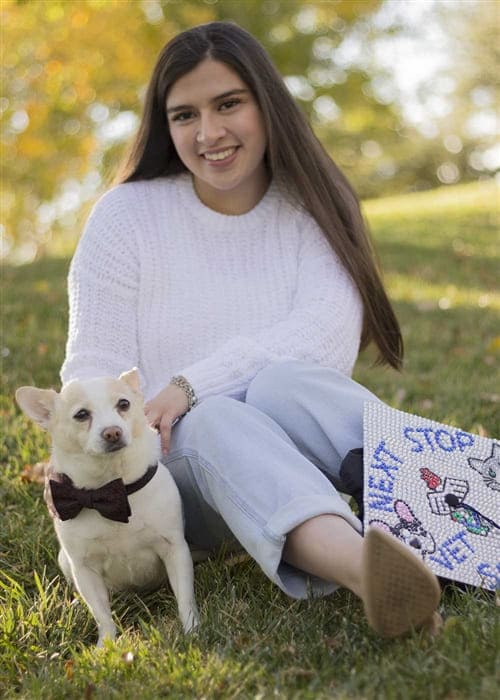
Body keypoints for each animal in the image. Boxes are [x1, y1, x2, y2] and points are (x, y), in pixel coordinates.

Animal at [14, 370, 197, 648]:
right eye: (81, 415)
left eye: (124, 404)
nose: (113, 432)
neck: (112, 488)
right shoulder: (84, 569)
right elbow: (101, 613)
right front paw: (106, 646)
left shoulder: (175, 550)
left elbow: (185, 596)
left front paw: (193, 630)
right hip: (66, 562)